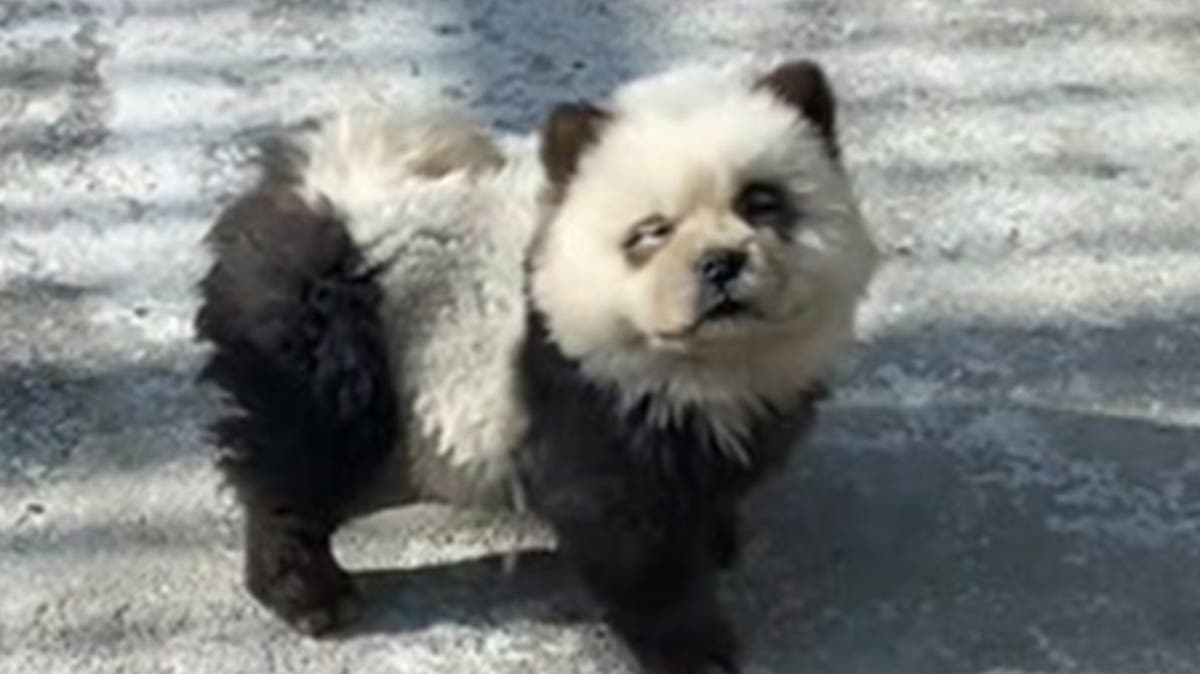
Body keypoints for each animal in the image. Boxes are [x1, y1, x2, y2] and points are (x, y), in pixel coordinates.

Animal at [195, 56, 878, 674]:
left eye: (762, 202)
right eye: (651, 231)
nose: (720, 264)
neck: (710, 358)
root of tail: (318, 190)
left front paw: (715, 539)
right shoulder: (584, 396)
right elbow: (632, 543)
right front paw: (694, 649)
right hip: (333, 348)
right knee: (299, 467)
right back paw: (307, 593)